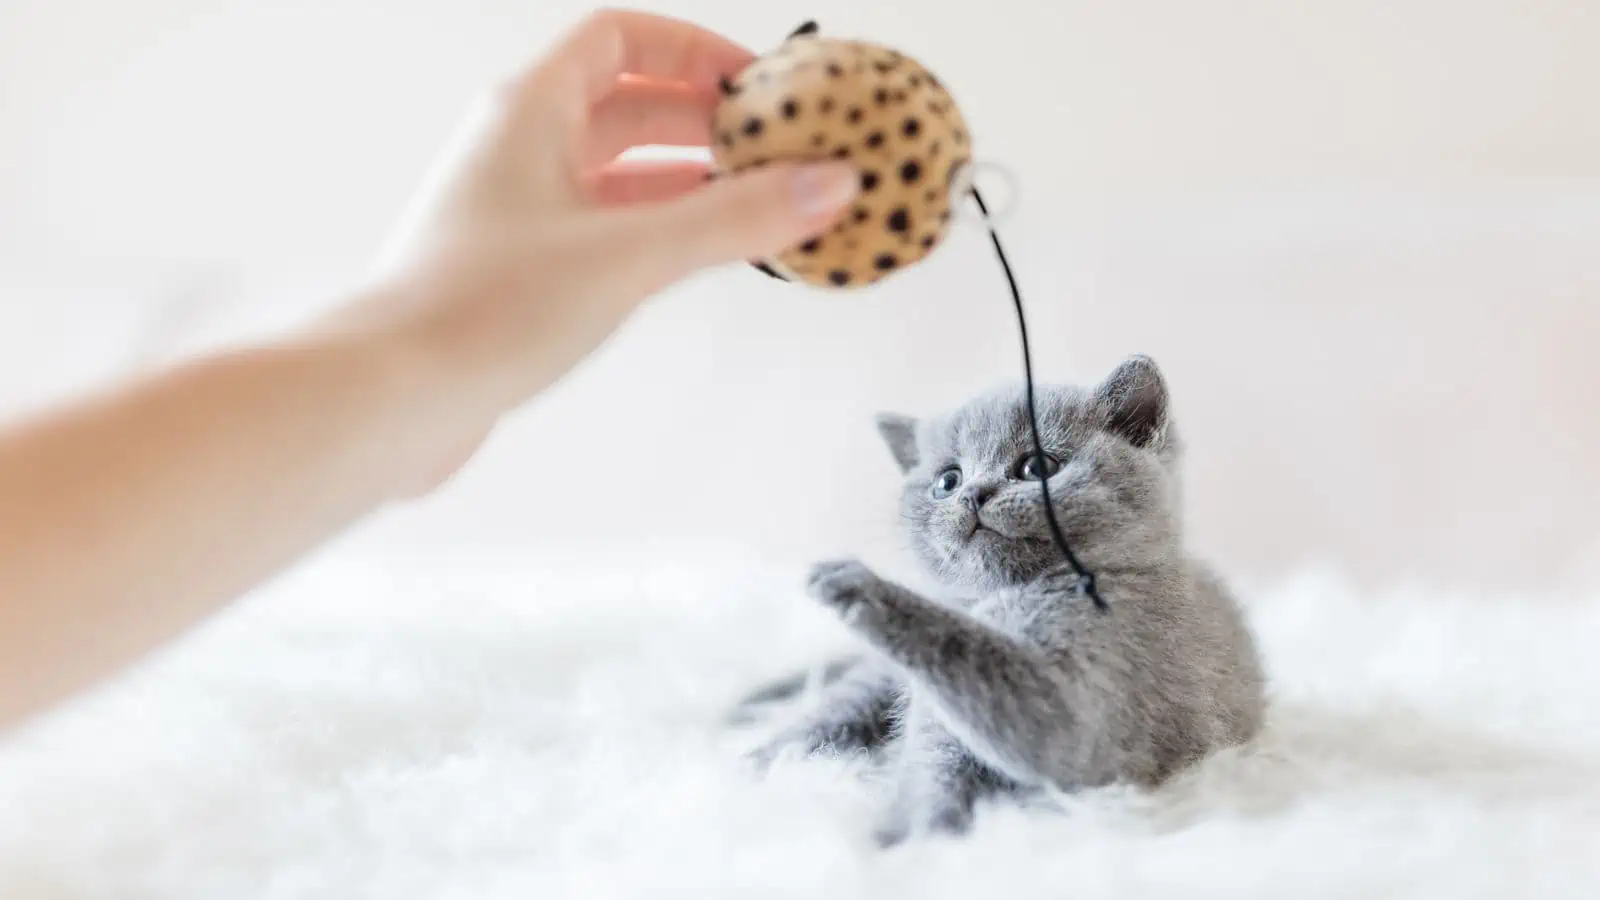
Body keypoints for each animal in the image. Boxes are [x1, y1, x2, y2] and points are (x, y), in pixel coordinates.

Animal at [732, 352, 1260, 839]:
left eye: (1038, 466)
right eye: (947, 481)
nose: (973, 494)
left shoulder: (1093, 691)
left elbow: (989, 677)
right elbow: (930, 758)